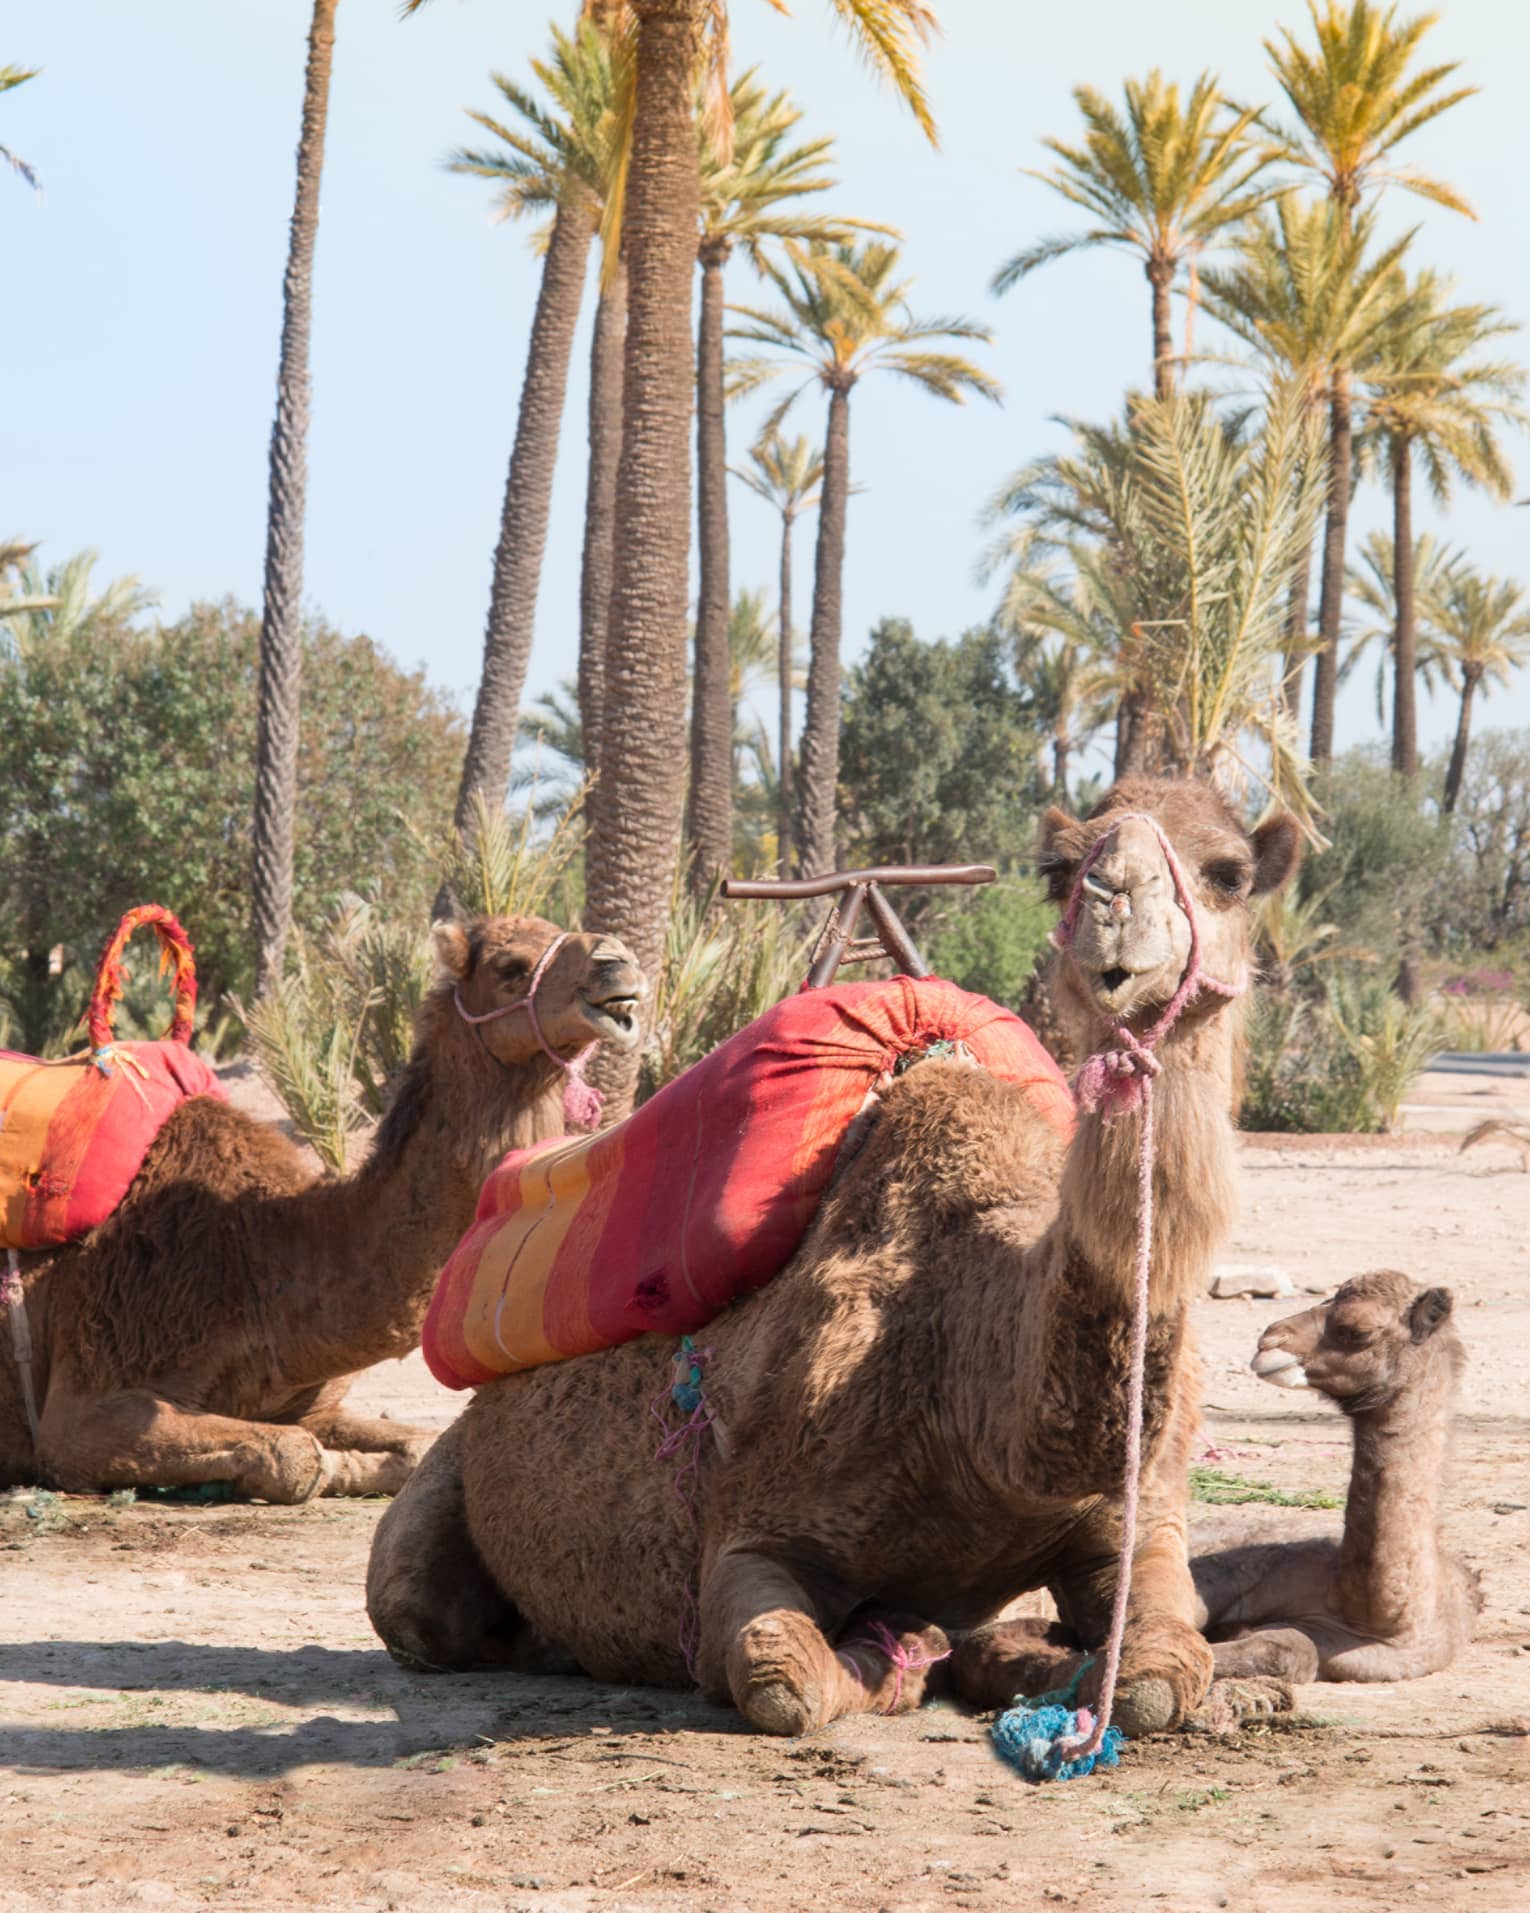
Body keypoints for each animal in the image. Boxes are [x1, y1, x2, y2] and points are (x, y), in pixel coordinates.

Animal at [0, 918, 646, 1499]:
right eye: (510, 967)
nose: (619, 964)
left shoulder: (309, 1399)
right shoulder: (87, 1399)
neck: (263, 1254)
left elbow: (412, 1447)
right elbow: (296, 1456)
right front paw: (326, 1469)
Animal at [367, 772, 1300, 1737]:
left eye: (1230, 872)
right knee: (418, 1602)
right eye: (1061, 869)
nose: (1117, 902)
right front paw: (900, 1647)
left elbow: (1160, 1668)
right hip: (436, 1503)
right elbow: (781, 1676)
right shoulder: (755, 1532)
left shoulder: (1131, 1527)